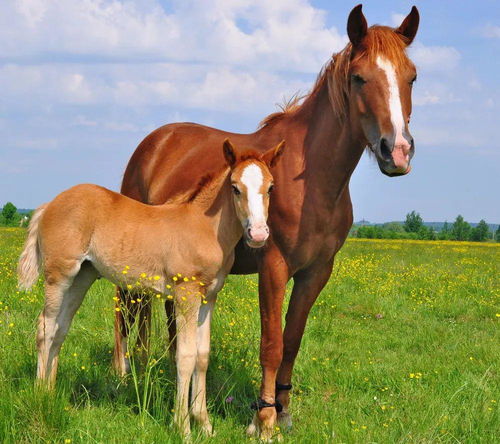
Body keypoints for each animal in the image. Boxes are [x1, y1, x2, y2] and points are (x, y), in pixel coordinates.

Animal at [18, 140, 286, 438]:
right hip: (59, 275)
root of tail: (48, 204)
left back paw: (50, 391)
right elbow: (185, 356)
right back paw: (40, 394)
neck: (204, 227)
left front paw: (205, 425)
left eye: (271, 187)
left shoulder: (209, 298)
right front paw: (183, 428)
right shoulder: (186, 295)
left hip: (82, 277)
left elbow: (202, 357)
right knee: (45, 327)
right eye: (235, 187)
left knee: (61, 328)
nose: (258, 234)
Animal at [115, 3, 420, 438]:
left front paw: (284, 411)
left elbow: (292, 341)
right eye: (360, 77)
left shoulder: (315, 272)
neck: (309, 180)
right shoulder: (273, 267)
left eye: (411, 76)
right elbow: (272, 343)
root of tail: (154, 142)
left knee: (172, 324)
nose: (397, 152)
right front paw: (263, 421)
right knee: (126, 312)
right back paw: (127, 374)